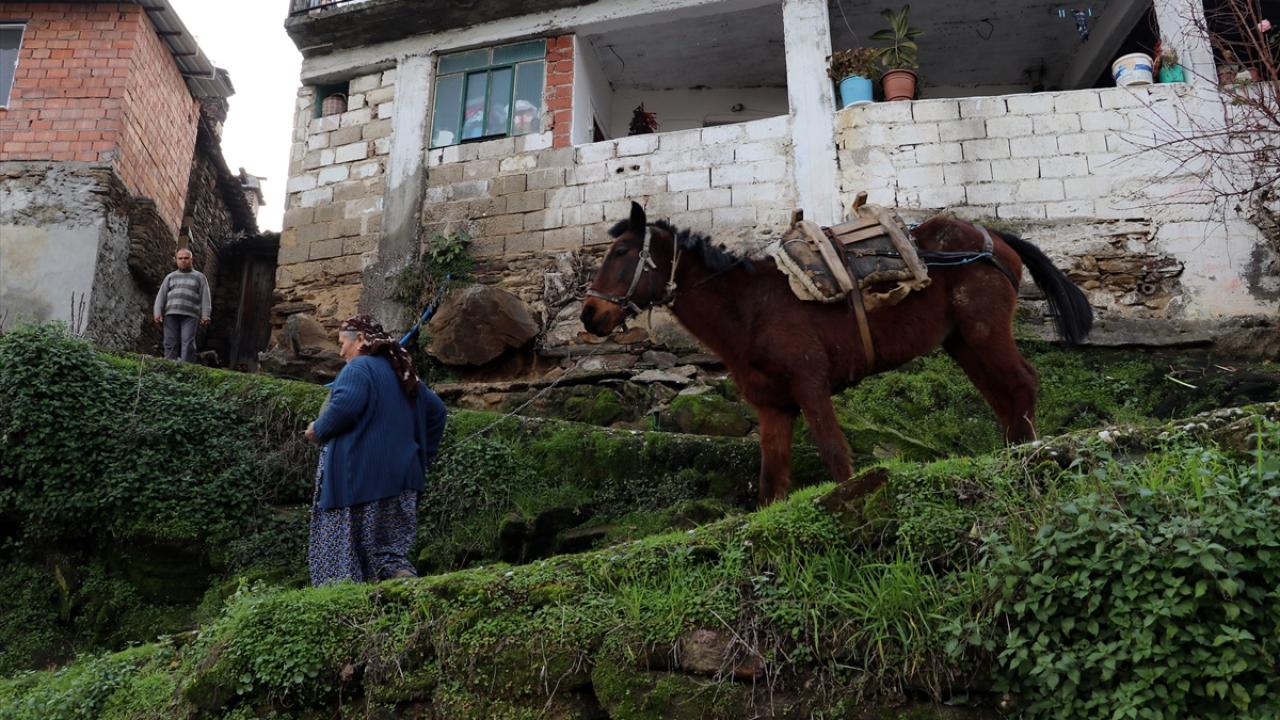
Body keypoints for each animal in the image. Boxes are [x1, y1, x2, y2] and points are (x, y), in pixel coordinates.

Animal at [581, 202, 1093, 505]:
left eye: (622, 251)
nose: (589, 315)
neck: (750, 308)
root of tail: (995, 238)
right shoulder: (773, 408)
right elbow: (771, 482)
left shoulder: (811, 386)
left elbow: (834, 455)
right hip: (964, 342)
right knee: (1003, 397)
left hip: (984, 331)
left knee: (1021, 384)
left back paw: (1027, 455)